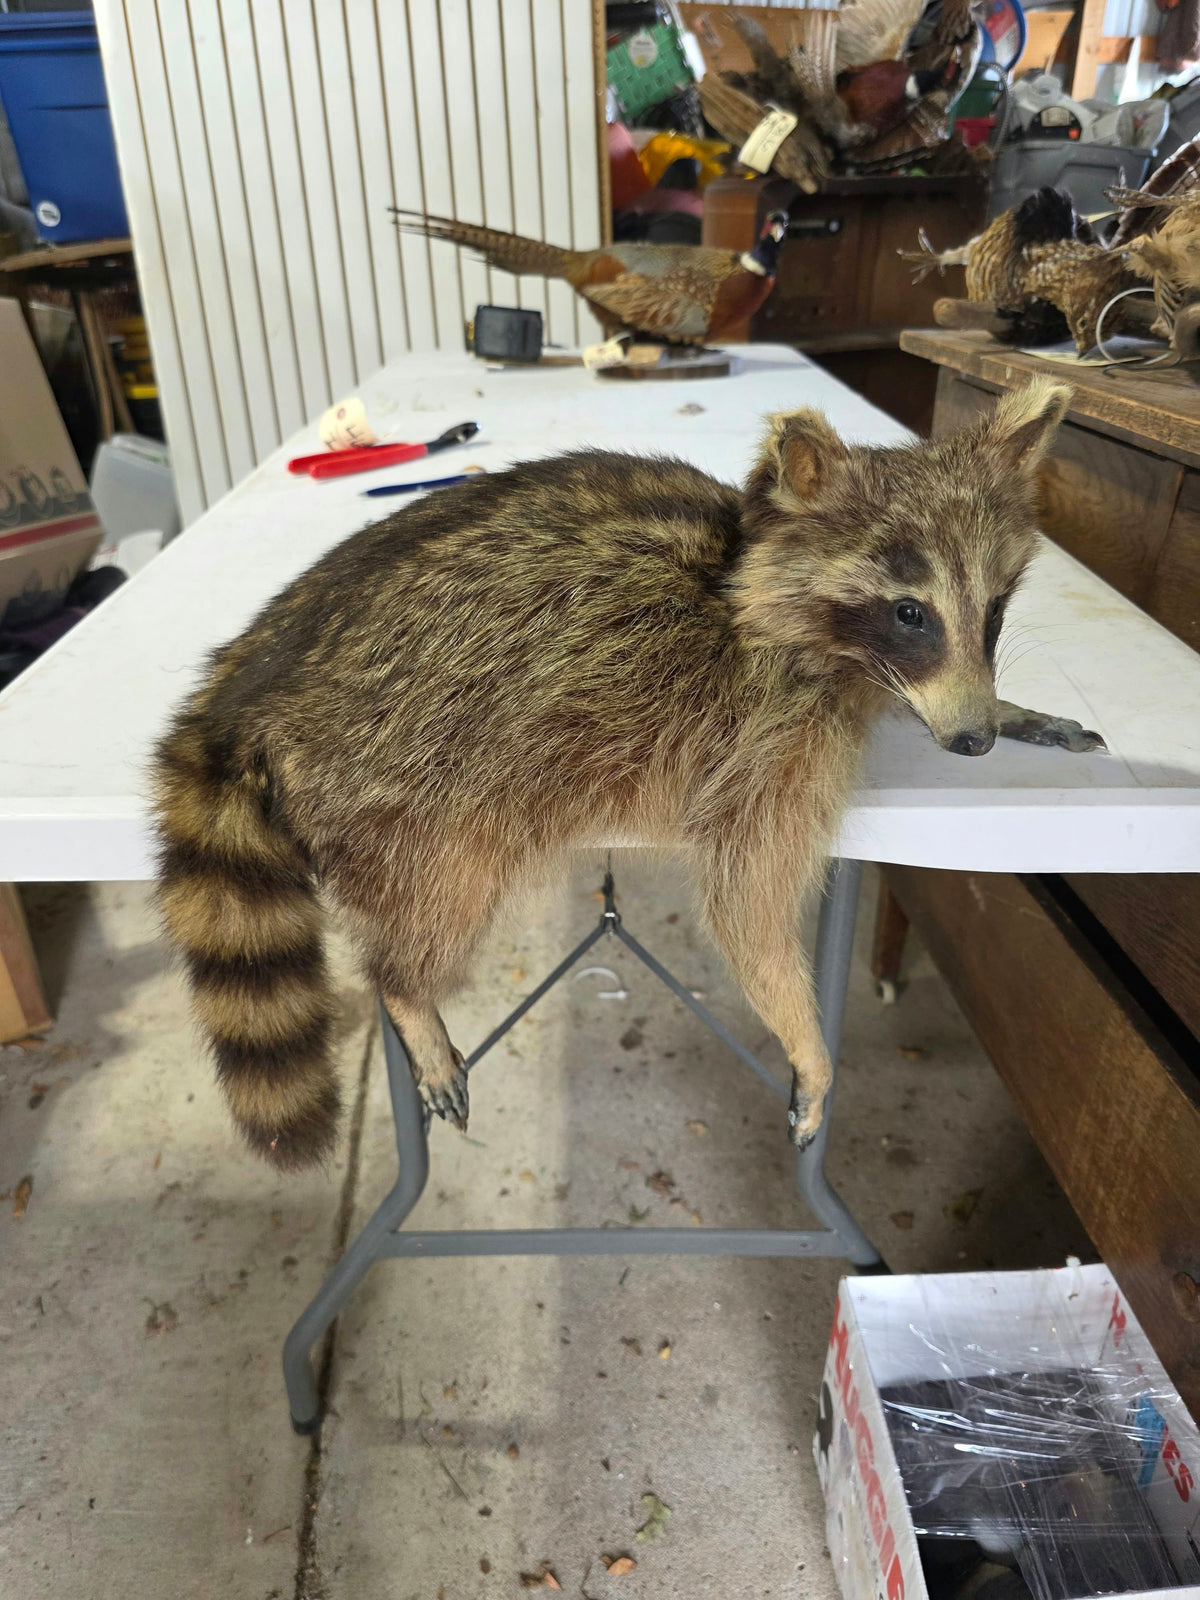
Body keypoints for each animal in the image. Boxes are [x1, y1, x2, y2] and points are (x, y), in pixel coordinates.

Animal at [153, 378, 1101, 1170]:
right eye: (910, 613)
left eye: (993, 611)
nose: (972, 741)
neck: (751, 572)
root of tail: (248, 683)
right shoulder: (767, 731)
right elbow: (746, 901)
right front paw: (806, 1042)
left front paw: (1012, 709)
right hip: (411, 781)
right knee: (439, 900)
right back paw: (408, 993)